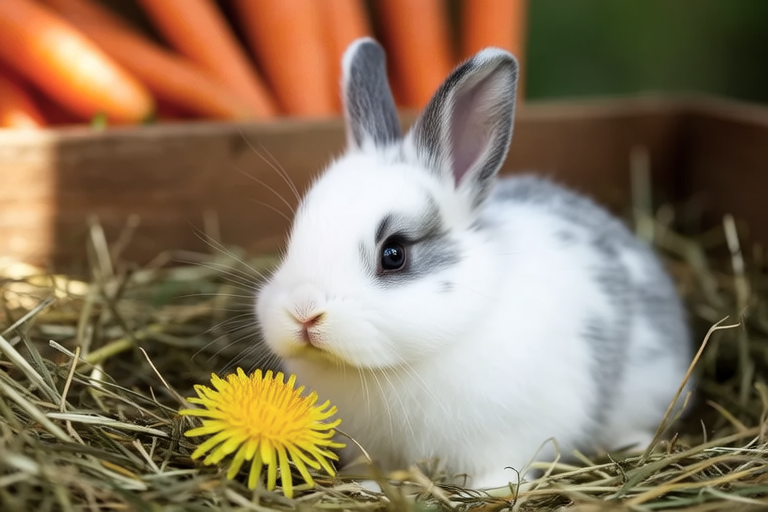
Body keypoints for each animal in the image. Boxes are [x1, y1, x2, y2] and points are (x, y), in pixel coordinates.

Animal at [254, 37, 693, 489]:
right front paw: (366, 484)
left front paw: (490, 490)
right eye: (295, 236)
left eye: (394, 254)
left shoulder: (511, 435)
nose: (304, 313)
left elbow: (502, 468)